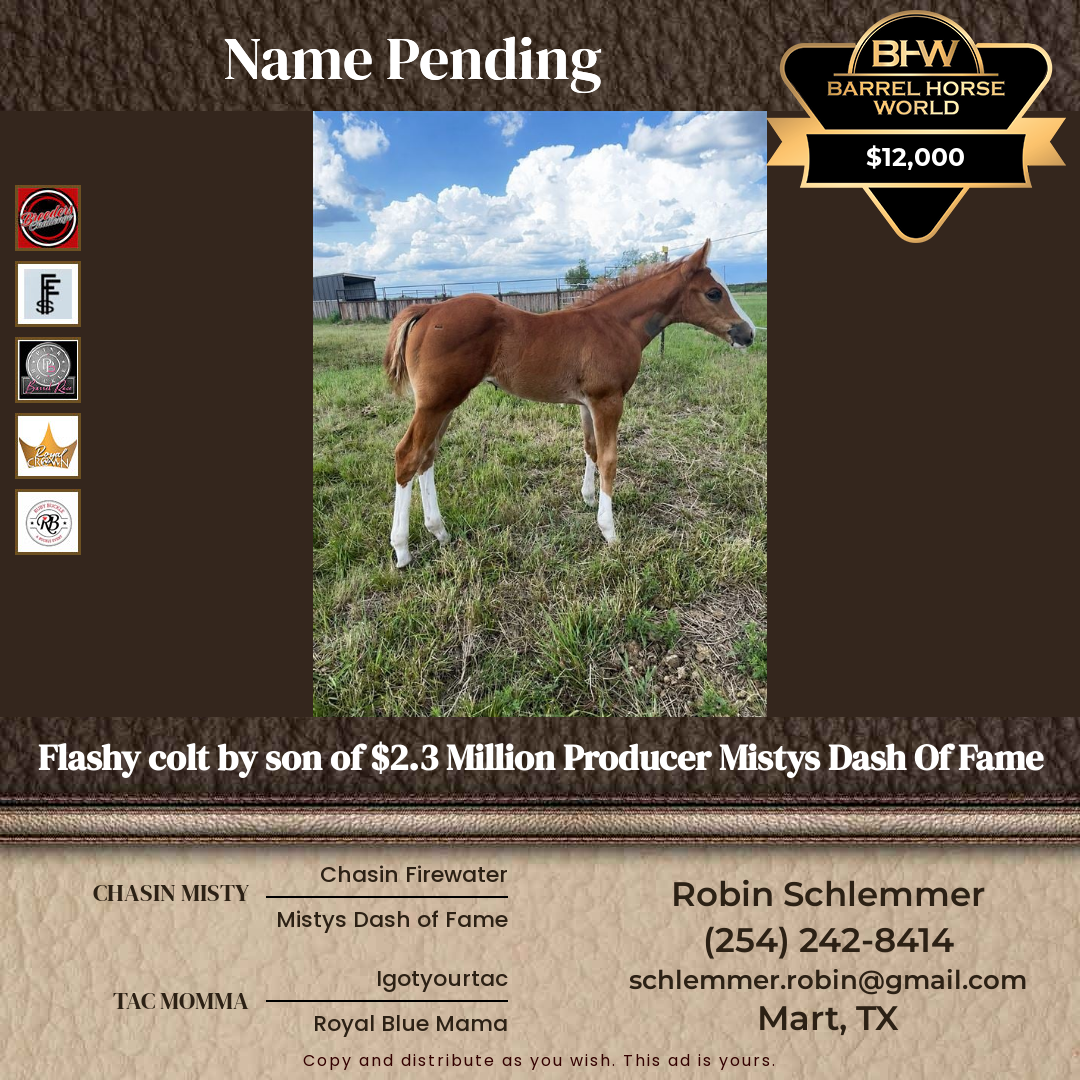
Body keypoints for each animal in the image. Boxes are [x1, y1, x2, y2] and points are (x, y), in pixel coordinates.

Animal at [381, 239, 754, 567]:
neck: (615, 325)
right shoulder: (608, 400)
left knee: (427, 456)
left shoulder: (587, 403)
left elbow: (590, 448)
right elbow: (609, 459)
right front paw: (609, 531)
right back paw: (402, 550)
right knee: (408, 455)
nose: (748, 333)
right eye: (714, 292)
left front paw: (588, 498)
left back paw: (439, 531)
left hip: (445, 403)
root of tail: (428, 308)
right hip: (435, 403)